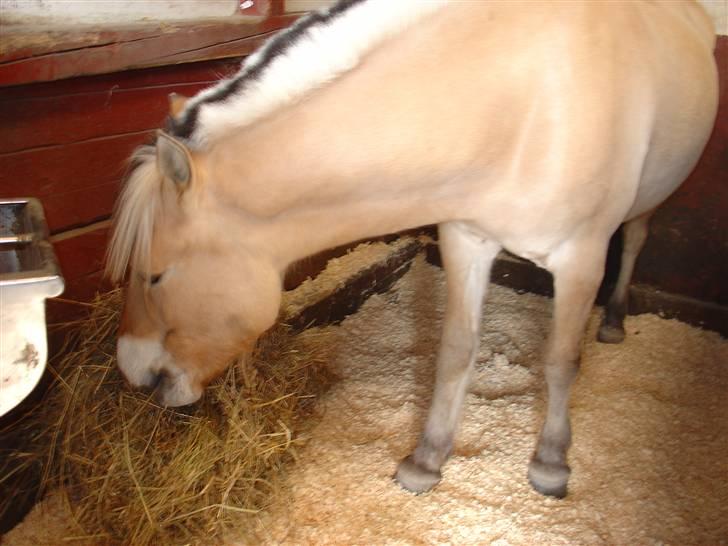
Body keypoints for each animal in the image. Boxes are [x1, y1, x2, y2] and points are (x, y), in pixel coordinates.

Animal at [106, 0, 716, 496]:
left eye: (155, 276)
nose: (131, 371)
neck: (527, 105)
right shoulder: (467, 239)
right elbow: (455, 353)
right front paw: (427, 460)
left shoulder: (580, 258)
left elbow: (562, 361)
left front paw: (550, 463)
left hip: (650, 200)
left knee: (635, 239)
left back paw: (612, 321)